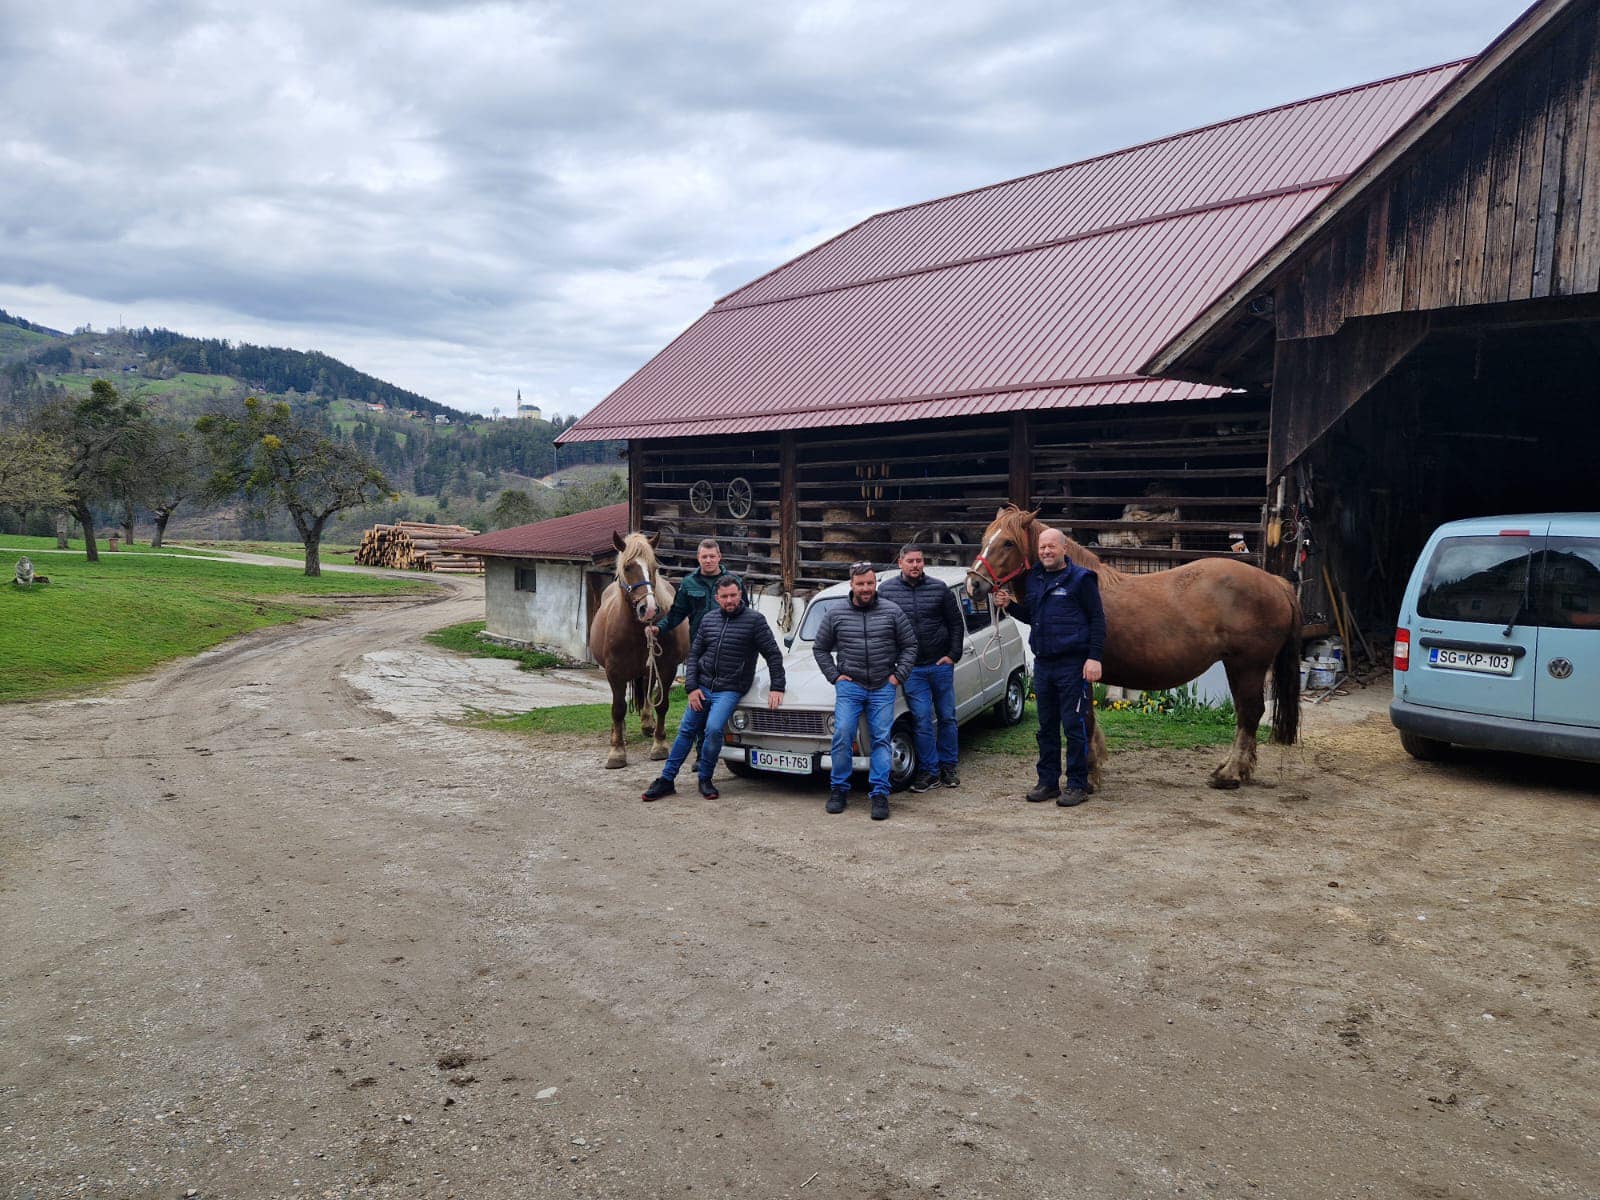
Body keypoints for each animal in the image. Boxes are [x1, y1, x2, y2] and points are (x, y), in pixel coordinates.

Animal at [588, 534, 688, 771]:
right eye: (627, 567)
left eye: (654, 567)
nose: (649, 609)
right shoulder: (614, 672)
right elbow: (618, 708)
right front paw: (616, 752)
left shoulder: (666, 669)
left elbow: (662, 704)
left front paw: (659, 745)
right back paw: (618, 732)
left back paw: (647, 724)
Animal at [960, 505, 1299, 790]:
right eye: (986, 538)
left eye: (1008, 543)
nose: (973, 584)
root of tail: (1275, 582)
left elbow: (1083, 720)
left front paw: (1088, 775)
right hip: (1237, 665)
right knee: (1245, 713)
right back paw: (1233, 769)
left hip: (1248, 665)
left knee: (1250, 712)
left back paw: (1231, 774)